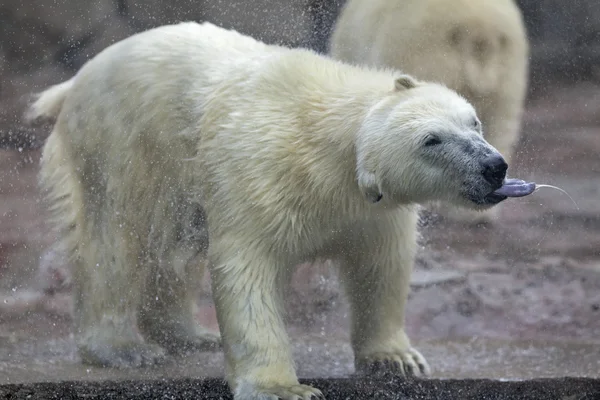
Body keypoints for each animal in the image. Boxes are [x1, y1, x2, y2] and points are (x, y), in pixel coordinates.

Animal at [28, 21, 510, 400]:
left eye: (473, 121)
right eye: (431, 140)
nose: (494, 166)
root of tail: (75, 80)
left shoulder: (372, 212)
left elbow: (380, 265)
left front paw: (397, 359)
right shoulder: (261, 175)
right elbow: (248, 269)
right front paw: (283, 388)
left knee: (175, 247)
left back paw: (190, 334)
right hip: (123, 145)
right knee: (116, 239)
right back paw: (124, 348)